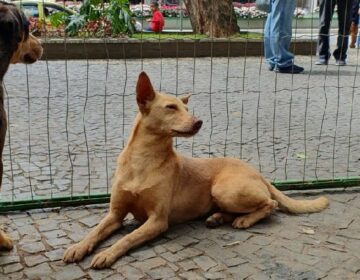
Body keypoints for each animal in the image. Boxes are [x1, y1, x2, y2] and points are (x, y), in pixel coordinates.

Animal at [62, 71, 330, 268]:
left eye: (187, 109)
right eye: (171, 107)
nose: (199, 121)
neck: (144, 160)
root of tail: (258, 172)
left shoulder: (157, 221)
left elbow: (128, 237)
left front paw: (108, 253)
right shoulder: (115, 214)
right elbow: (94, 232)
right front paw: (78, 247)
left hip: (225, 190)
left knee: (270, 204)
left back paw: (244, 220)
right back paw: (217, 217)